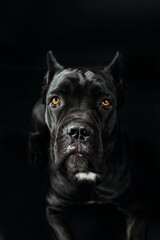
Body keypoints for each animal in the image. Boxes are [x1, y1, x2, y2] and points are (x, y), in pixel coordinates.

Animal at [29, 52, 148, 240]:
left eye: (105, 102)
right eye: (55, 100)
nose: (78, 131)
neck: (87, 174)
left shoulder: (137, 208)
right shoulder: (52, 207)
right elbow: (65, 235)